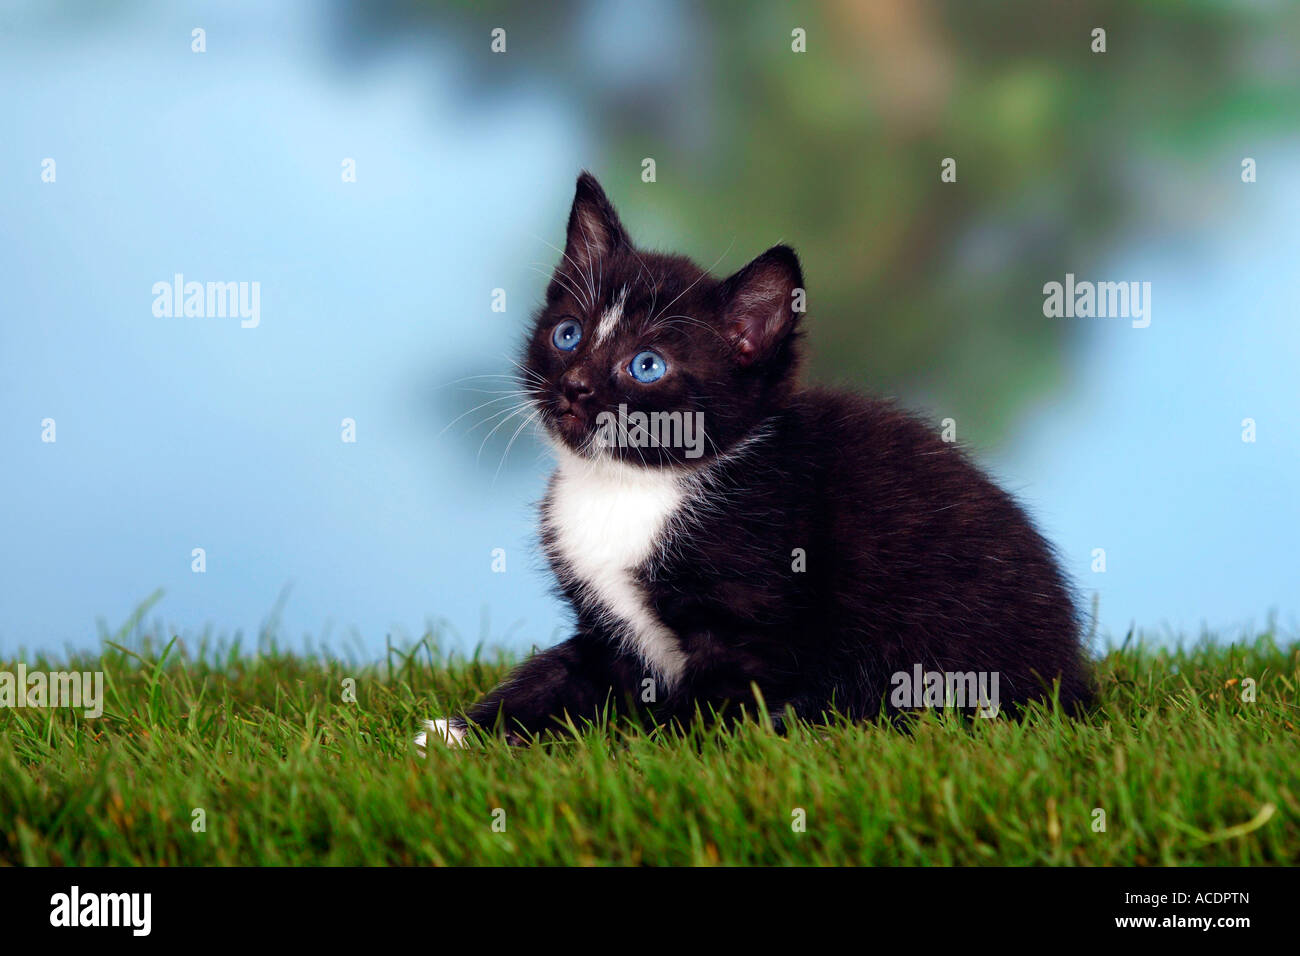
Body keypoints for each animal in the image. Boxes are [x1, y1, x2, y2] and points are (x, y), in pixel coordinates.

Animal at [421, 175, 1092, 749]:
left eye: (647, 365)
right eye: (568, 334)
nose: (575, 386)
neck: (634, 484)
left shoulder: (756, 617)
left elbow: (699, 709)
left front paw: (628, 752)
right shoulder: (609, 632)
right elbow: (563, 674)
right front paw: (462, 731)